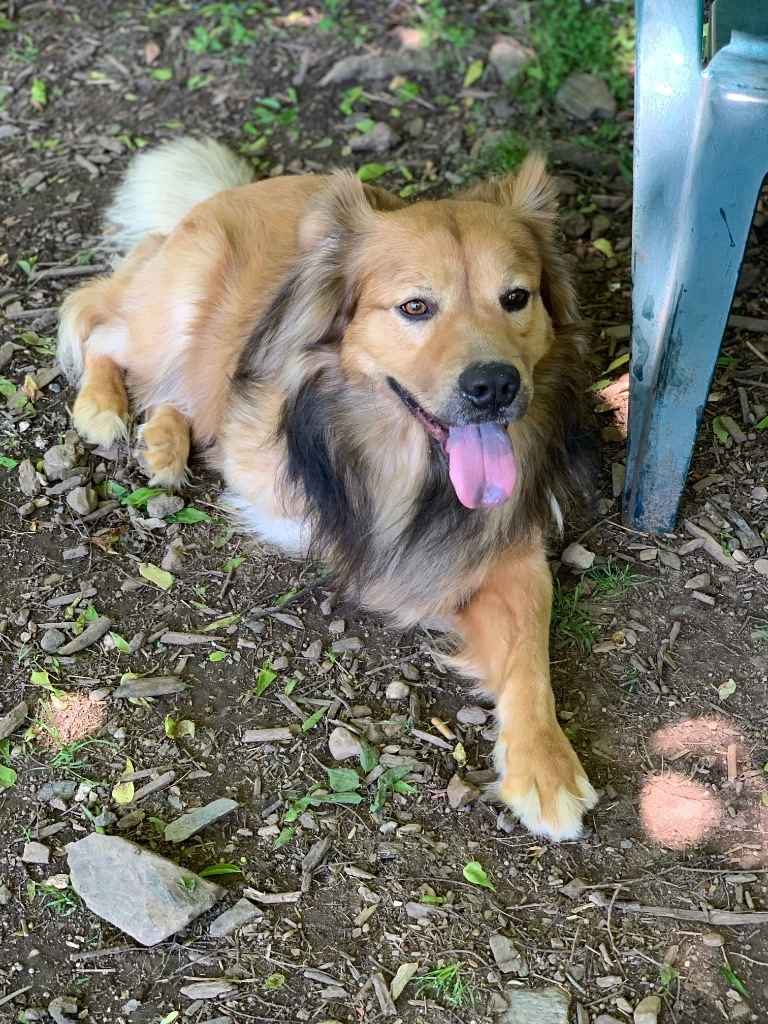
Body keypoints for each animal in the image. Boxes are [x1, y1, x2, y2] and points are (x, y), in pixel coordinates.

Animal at [58, 136, 602, 839]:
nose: (494, 386)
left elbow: (532, 650)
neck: (414, 464)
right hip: (175, 310)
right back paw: (103, 407)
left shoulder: (512, 550)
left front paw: (546, 765)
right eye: (416, 307)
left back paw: (165, 441)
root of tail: (223, 193)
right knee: (98, 321)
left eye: (516, 298)